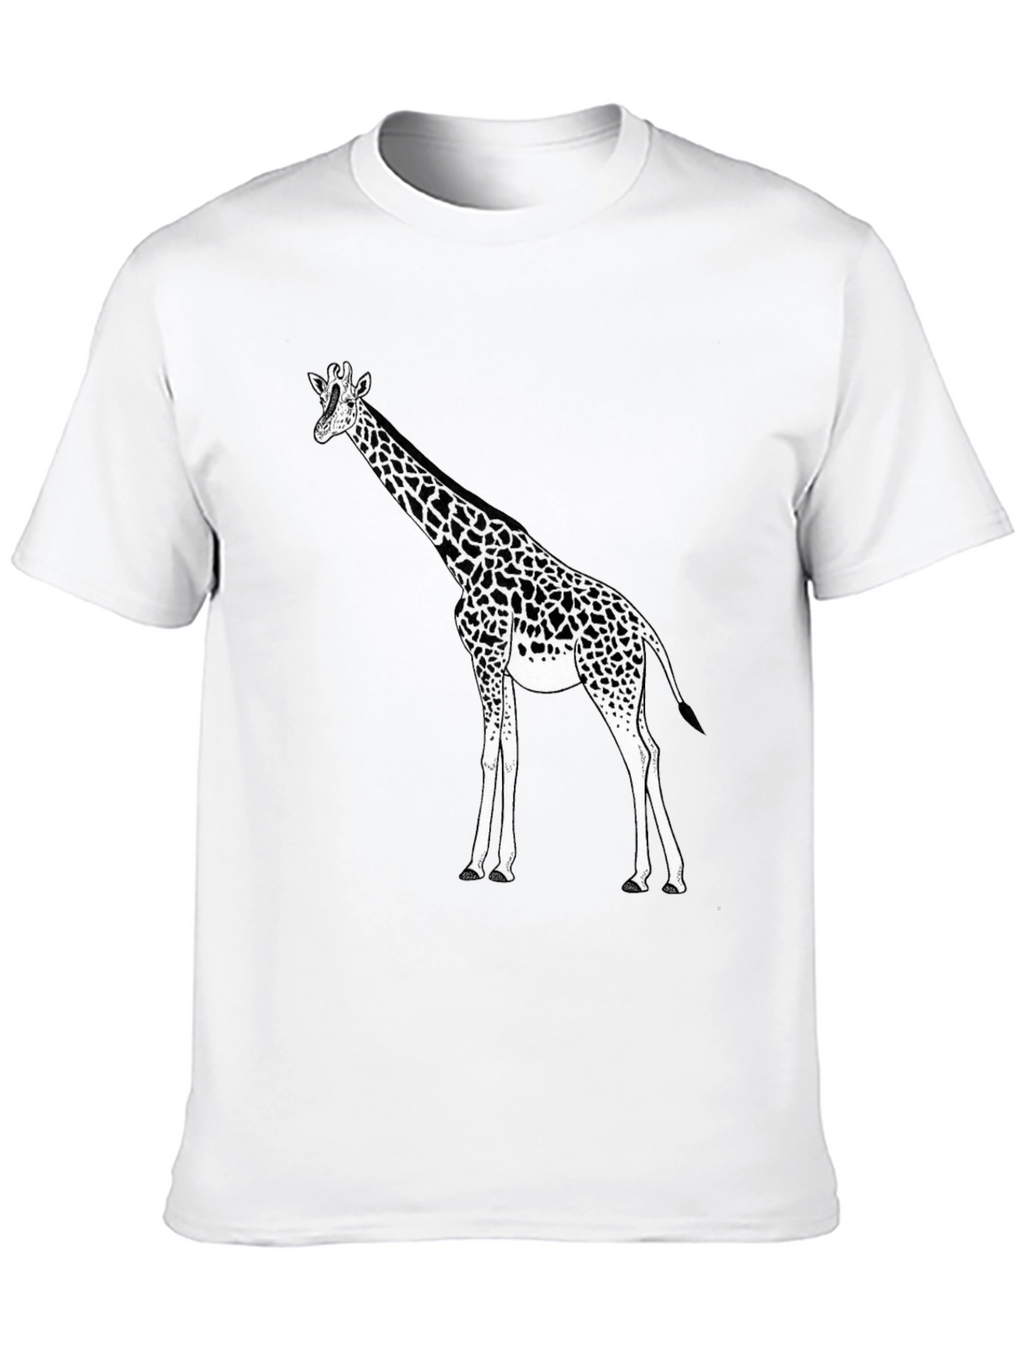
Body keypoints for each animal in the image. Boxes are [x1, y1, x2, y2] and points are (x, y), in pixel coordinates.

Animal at [307, 361, 704, 894]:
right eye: (322, 400)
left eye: (348, 402)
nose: (320, 431)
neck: (462, 555)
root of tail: (644, 628)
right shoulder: (501, 667)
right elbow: (512, 754)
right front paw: (504, 865)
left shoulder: (485, 656)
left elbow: (488, 755)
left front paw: (474, 863)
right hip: (632, 688)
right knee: (655, 751)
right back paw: (675, 876)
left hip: (607, 686)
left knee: (636, 756)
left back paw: (639, 875)